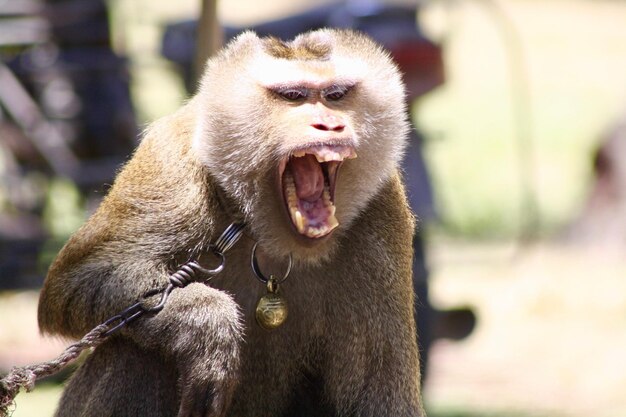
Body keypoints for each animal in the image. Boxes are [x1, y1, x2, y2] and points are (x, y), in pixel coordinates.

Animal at [35, 29, 424, 416]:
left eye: (336, 95)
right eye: (293, 96)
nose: (331, 124)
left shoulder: (382, 212)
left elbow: (382, 401)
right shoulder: (172, 167)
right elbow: (75, 282)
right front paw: (208, 328)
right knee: (134, 354)